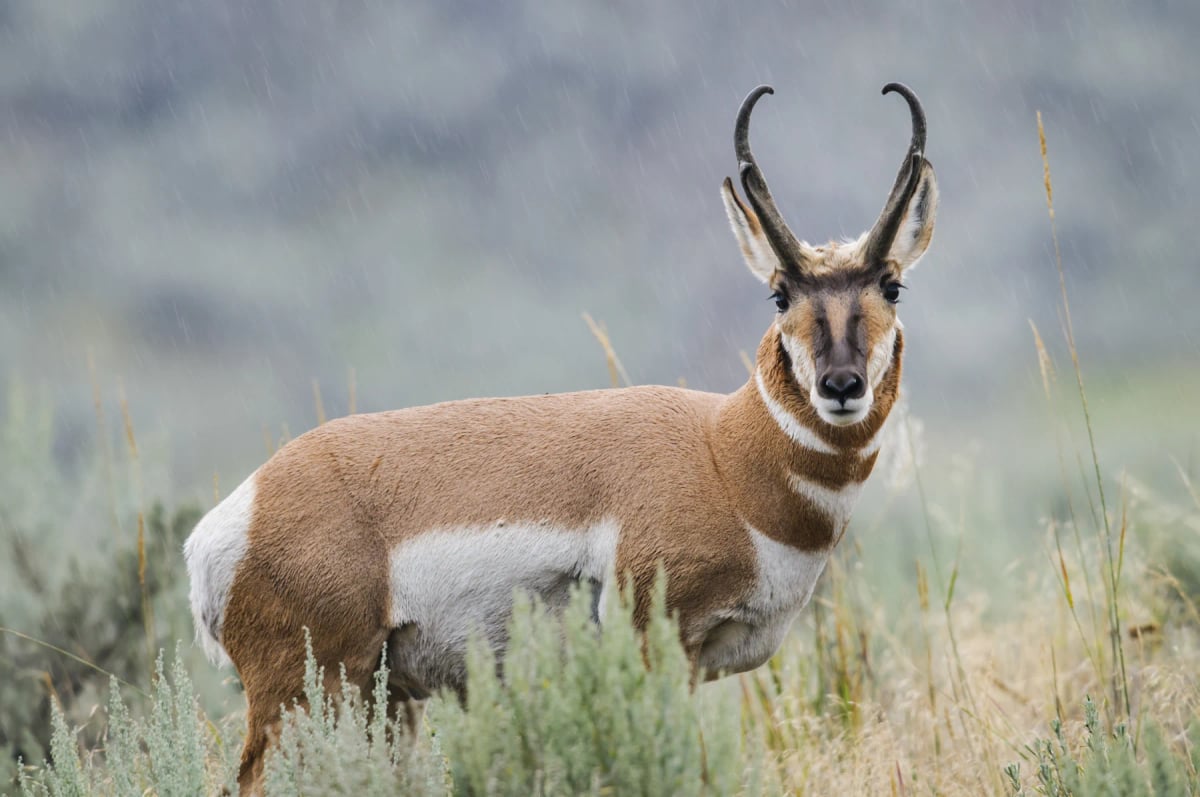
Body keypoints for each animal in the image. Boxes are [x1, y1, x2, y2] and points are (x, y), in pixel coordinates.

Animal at [185, 82, 938, 792]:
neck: (723, 455)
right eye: (780, 293)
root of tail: (235, 515)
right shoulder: (653, 640)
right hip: (310, 692)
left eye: (891, 285)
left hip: (380, 699)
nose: (841, 385)